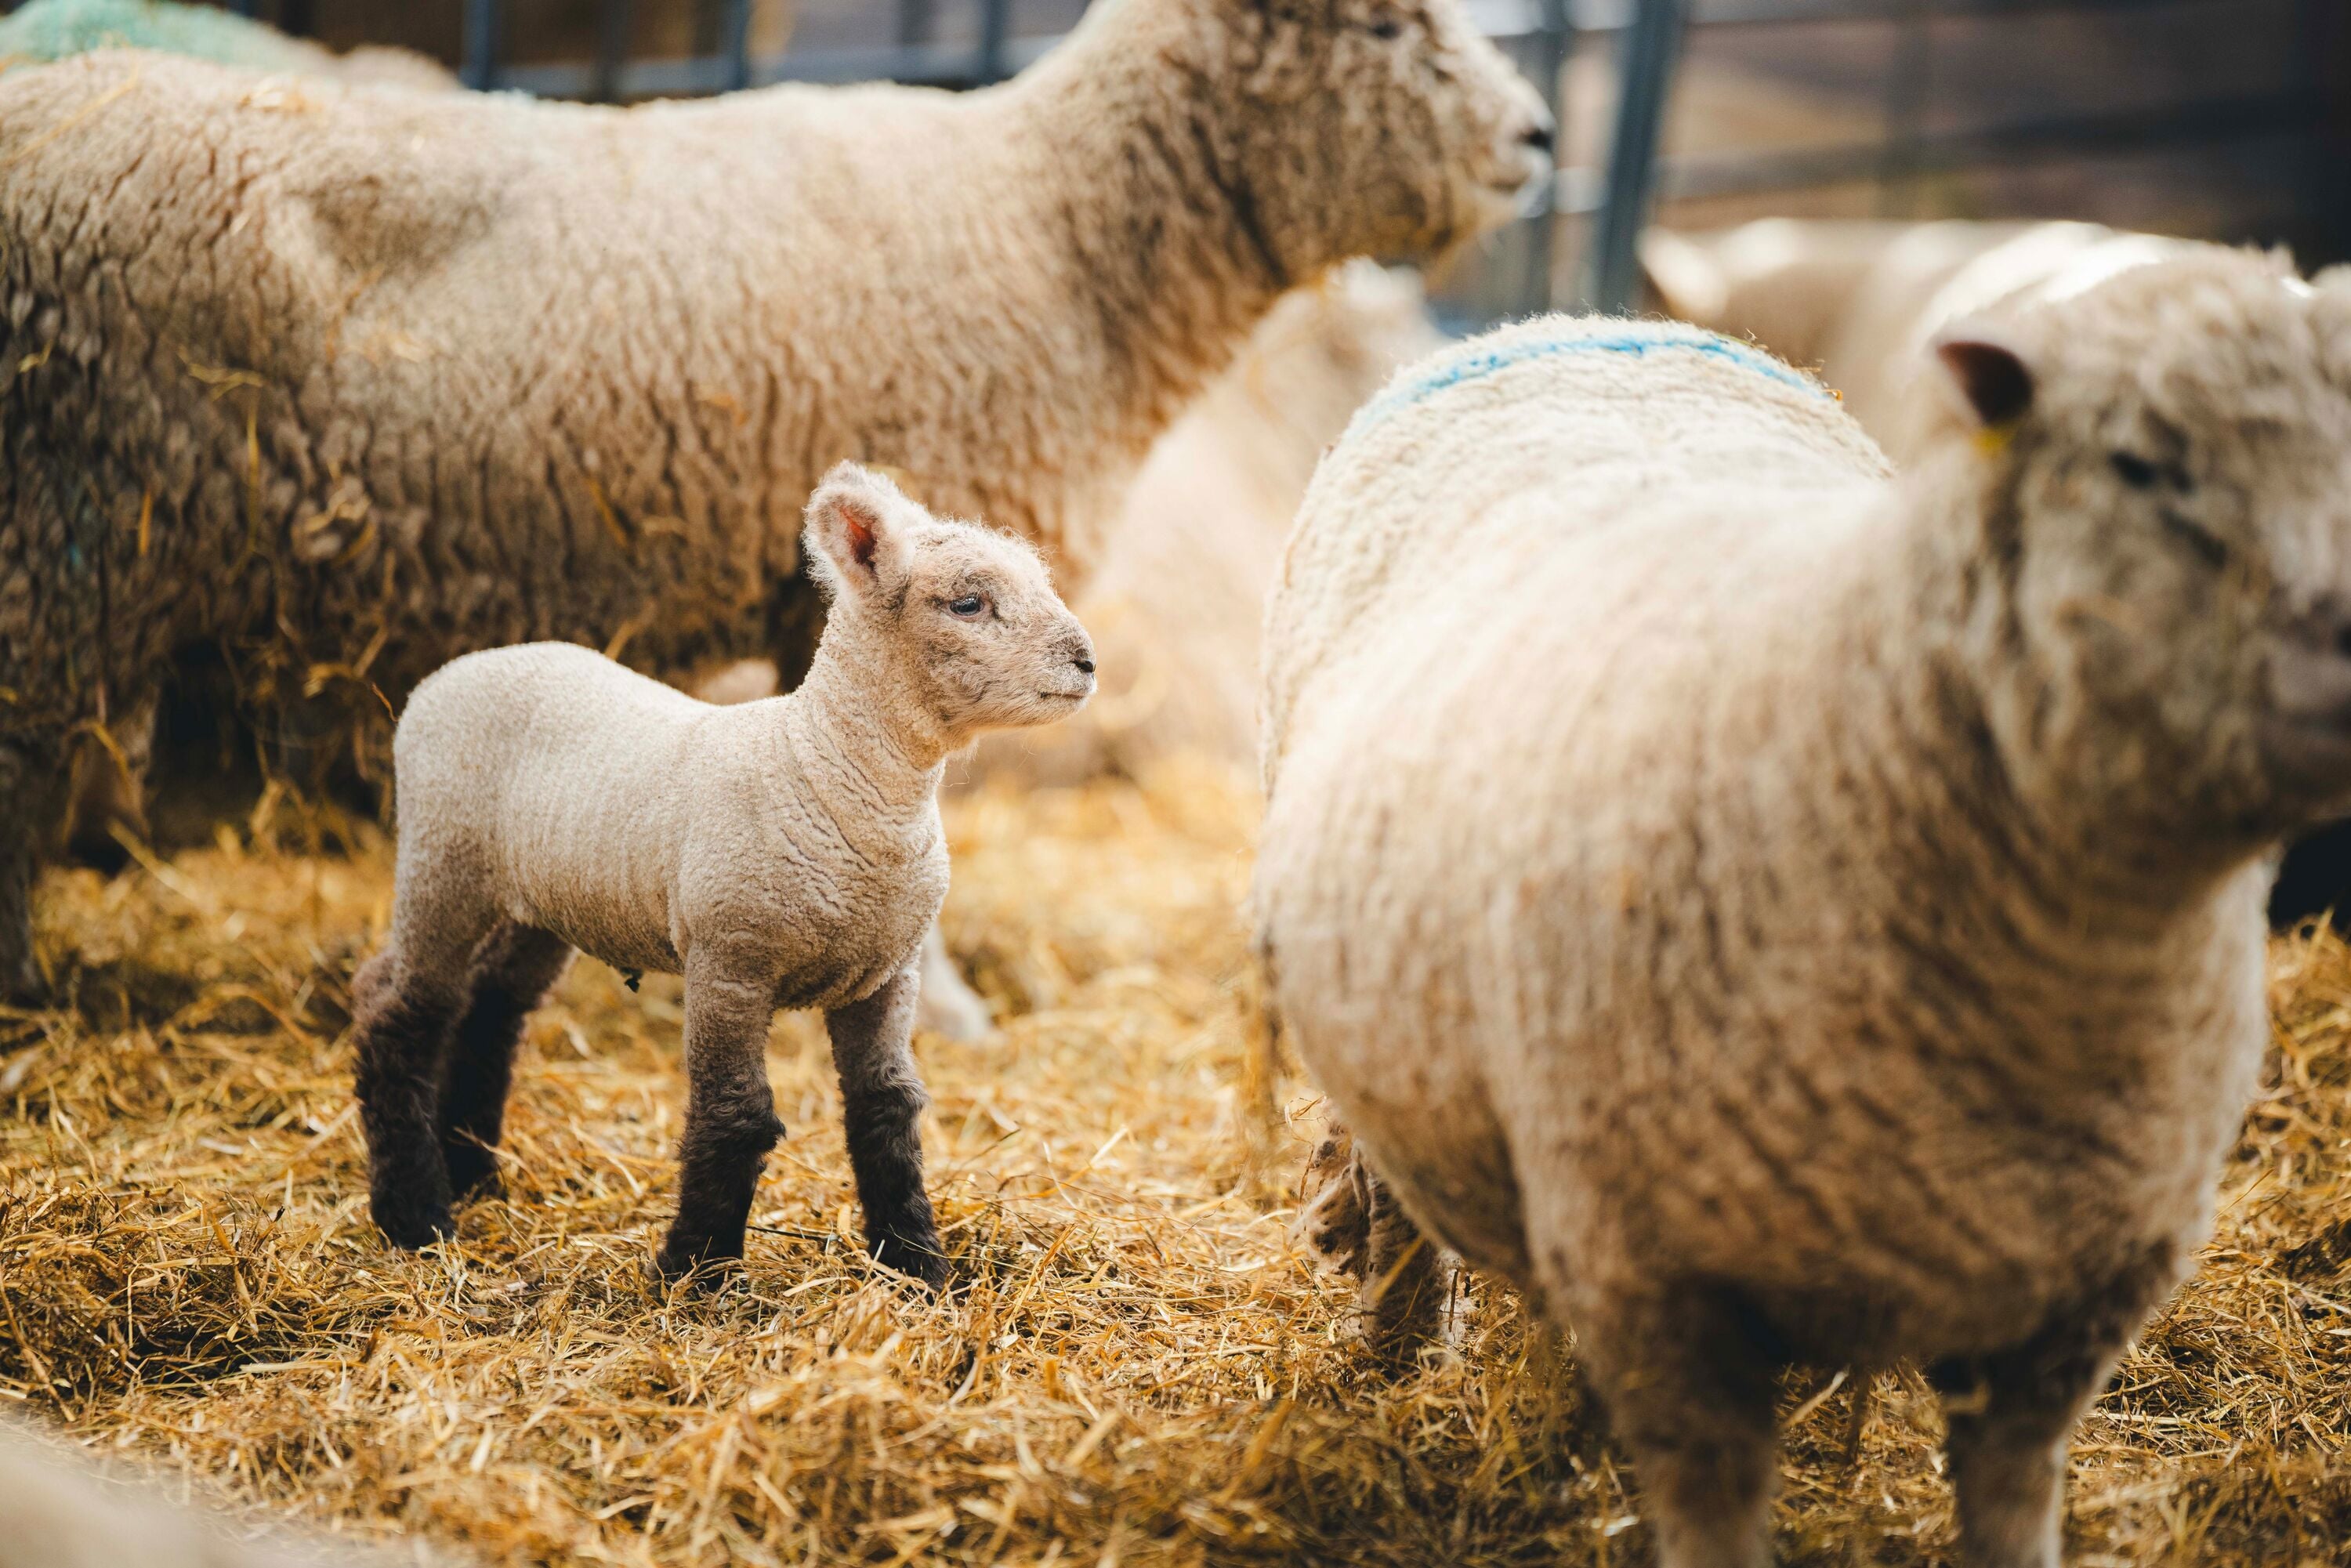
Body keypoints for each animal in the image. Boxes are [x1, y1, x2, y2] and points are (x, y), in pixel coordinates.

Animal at [351, 465, 1094, 1285]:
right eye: (968, 602)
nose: (1087, 661)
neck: (822, 765)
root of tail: (456, 672)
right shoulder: (730, 961)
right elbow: (736, 1114)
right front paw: (695, 1268)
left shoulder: (886, 976)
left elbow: (888, 1106)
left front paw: (915, 1263)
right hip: (441, 860)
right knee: (398, 1011)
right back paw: (415, 1212)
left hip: (538, 902)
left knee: (490, 1010)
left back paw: (475, 1173)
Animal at [1253, 255, 2351, 1567]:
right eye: (2140, 462)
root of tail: (1583, 320)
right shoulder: (1664, 1293)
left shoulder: (2066, 1322)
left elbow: (2010, 1506)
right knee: (1389, 1205)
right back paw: (1390, 1356)